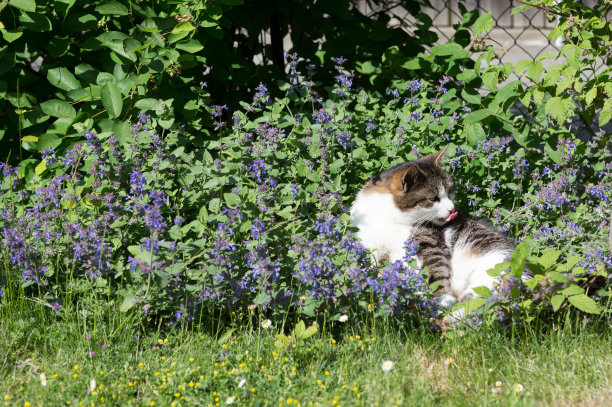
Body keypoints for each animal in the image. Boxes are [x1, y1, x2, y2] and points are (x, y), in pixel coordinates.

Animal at [350, 148, 516, 314]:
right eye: (433, 198)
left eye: (450, 191)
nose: (452, 209)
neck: (389, 219)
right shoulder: (366, 240)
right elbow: (365, 263)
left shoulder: (427, 241)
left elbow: (435, 266)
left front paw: (443, 300)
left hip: (492, 268)